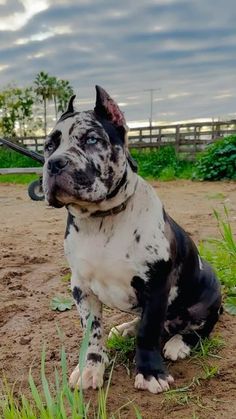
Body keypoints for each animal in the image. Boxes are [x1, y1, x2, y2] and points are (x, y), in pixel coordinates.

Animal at [43, 87, 222, 396]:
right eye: (48, 146)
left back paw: (179, 344)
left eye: (91, 139)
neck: (102, 220)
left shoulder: (157, 286)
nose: (54, 163)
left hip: (211, 295)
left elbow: (148, 333)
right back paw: (127, 327)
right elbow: (93, 332)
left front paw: (150, 373)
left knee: (199, 329)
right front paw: (90, 368)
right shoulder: (81, 288)